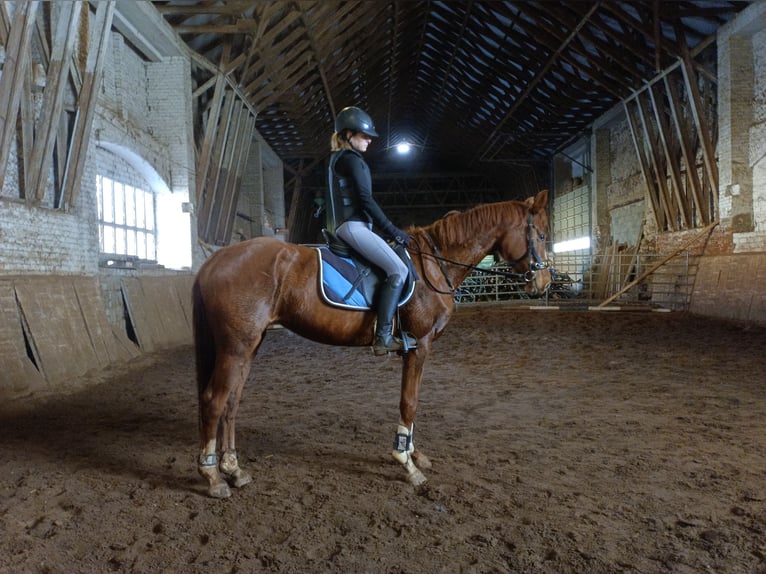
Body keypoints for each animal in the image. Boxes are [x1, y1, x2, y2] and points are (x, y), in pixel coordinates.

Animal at [193, 189, 551, 498]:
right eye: (542, 235)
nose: (544, 281)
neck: (434, 265)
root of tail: (215, 260)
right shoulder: (420, 346)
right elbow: (409, 403)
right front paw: (407, 464)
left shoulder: (416, 350)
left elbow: (412, 401)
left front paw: (413, 454)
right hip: (235, 346)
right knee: (214, 401)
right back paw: (212, 477)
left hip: (250, 345)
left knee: (232, 402)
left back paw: (234, 470)